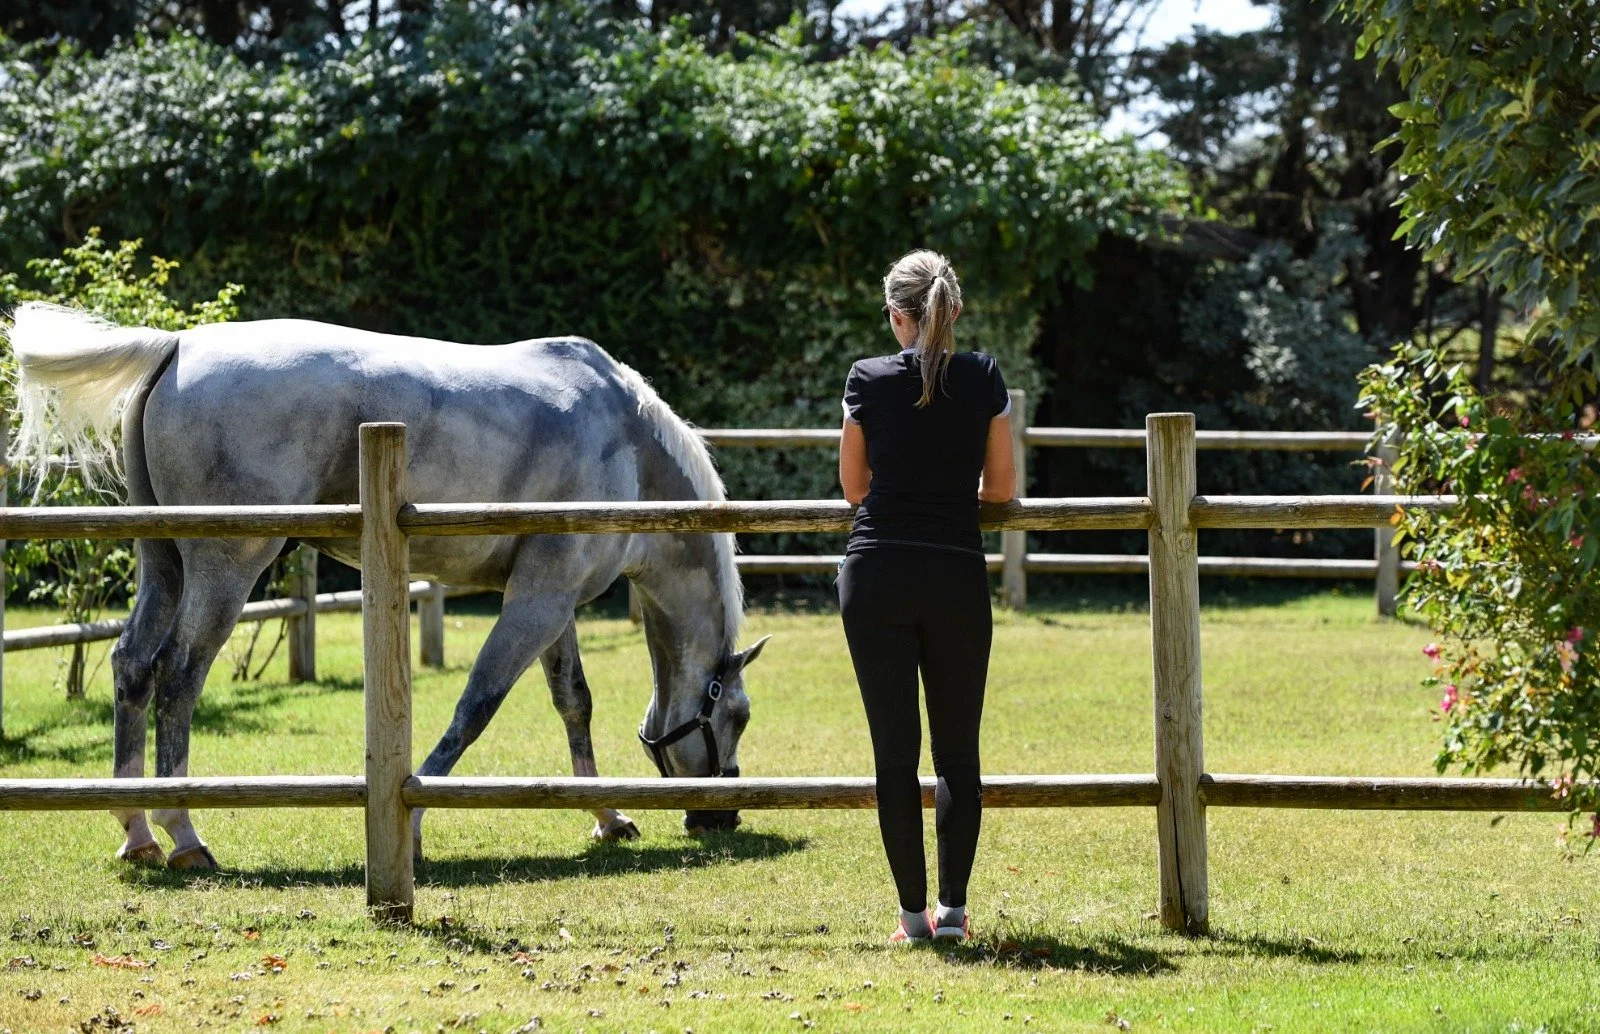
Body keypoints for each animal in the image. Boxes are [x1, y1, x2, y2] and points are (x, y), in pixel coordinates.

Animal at [8, 302, 768, 870]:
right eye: (737, 715)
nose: (724, 816)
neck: (629, 444)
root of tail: (178, 346)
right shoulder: (538, 601)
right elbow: (476, 706)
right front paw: (420, 823)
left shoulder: (553, 602)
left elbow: (572, 702)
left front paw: (607, 816)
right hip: (227, 567)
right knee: (178, 676)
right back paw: (185, 835)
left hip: (163, 562)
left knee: (133, 666)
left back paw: (136, 830)